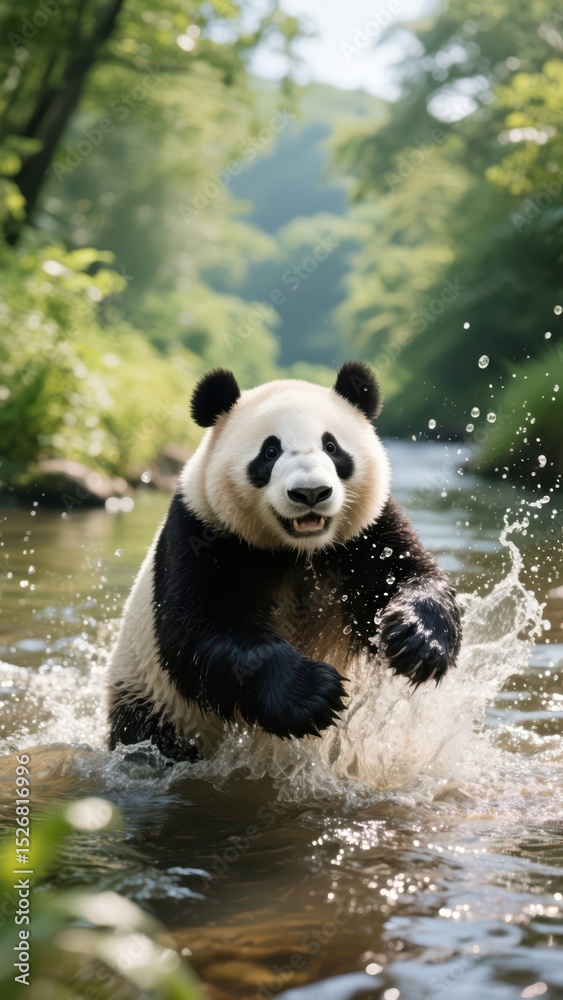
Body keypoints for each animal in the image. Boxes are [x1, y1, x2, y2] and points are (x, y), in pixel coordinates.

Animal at [108, 362, 461, 761]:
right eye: (270, 451)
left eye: (331, 446)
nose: (311, 492)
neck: (299, 551)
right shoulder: (202, 531)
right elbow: (200, 627)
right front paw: (312, 693)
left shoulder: (367, 531)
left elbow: (409, 572)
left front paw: (418, 641)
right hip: (151, 698)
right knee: (148, 735)